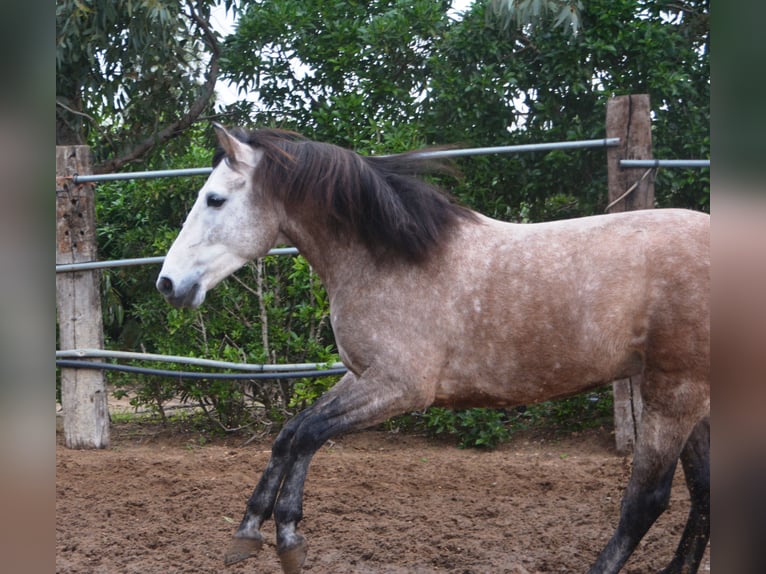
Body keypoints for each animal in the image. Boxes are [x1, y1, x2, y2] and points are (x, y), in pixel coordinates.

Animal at [158, 124, 712, 572]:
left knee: (647, 501)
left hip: (674, 392)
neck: (390, 258)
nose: (167, 284)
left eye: (214, 200)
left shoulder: (401, 388)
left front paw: (289, 538)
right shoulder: (362, 376)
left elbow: (308, 435)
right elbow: (290, 433)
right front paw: (250, 532)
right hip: (693, 401)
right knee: (702, 495)